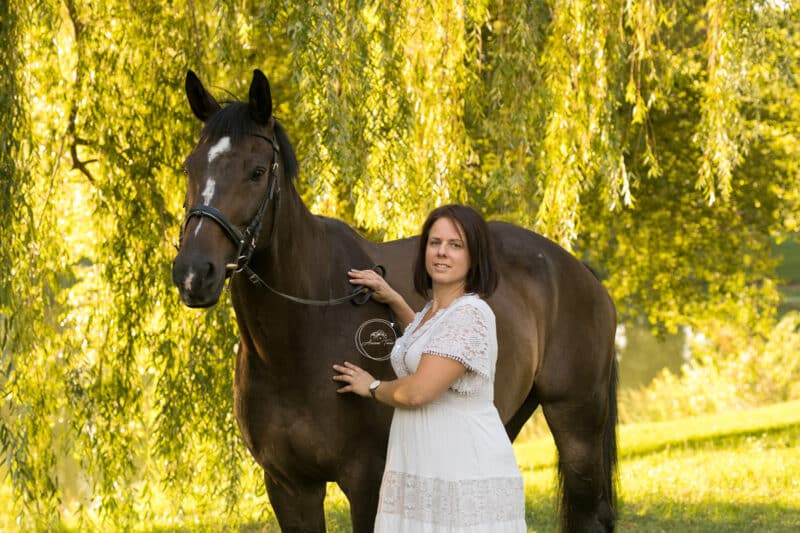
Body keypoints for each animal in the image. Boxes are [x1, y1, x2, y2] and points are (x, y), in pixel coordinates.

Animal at [170, 68, 620, 528]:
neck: (302, 335)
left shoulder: (368, 481)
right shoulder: (289, 487)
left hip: (577, 426)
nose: (193, 273)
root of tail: (577, 269)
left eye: (257, 171)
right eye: (189, 167)